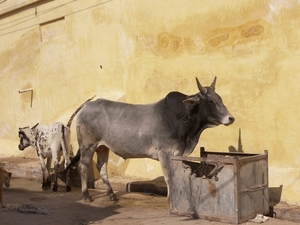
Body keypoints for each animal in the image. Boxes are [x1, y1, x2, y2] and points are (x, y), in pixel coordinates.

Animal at [67, 76, 234, 201]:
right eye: (211, 101)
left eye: (220, 98)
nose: (230, 118)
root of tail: (88, 105)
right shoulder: (164, 152)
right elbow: (169, 177)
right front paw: (171, 199)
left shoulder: (178, 153)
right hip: (88, 144)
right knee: (83, 166)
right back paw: (86, 195)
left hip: (102, 146)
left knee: (101, 166)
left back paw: (112, 194)